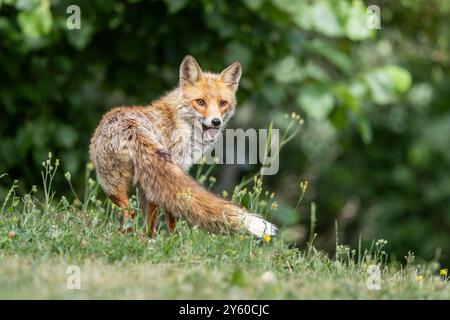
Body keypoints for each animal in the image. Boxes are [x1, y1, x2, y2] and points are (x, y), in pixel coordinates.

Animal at [89, 55, 276, 238]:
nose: (216, 121)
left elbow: (152, 219)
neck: (176, 122)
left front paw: (154, 238)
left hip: (121, 184)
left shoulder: (148, 184)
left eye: (222, 103)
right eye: (200, 102)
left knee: (132, 213)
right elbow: (171, 218)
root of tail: (132, 128)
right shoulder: (175, 168)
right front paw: (172, 240)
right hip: (109, 184)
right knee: (131, 213)